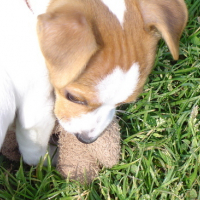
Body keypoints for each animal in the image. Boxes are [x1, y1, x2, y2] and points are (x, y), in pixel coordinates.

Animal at [0, 0, 188, 165]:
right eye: (74, 98)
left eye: (123, 102)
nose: (86, 140)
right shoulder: (35, 112)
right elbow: (34, 154)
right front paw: (52, 158)